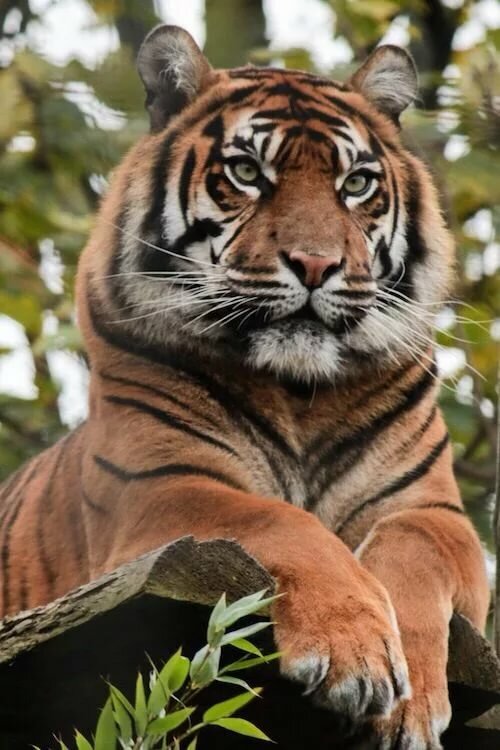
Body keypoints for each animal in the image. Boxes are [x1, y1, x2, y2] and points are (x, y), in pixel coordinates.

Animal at [0, 23, 489, 749]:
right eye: (248, 173)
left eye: (356, 183)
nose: (316, 264)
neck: (300, 393)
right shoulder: (161, 489)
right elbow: (276, 519)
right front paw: (355, 656)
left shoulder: (436, 511)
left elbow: (411, 548)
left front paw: (408, 704)